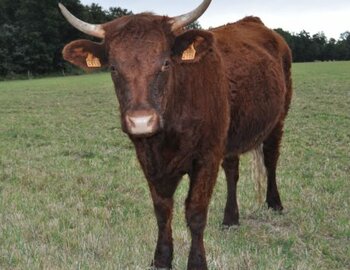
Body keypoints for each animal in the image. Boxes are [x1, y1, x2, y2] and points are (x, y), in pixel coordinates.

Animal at [58, 1, 292, 268]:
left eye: (166, 63)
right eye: (114, 68)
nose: (141, 121)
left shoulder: (207, 156)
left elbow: (196, 212)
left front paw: (197, 262)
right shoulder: (148, 158)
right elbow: (162, 210)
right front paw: (161, 258)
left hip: (278, 118)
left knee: (271, 159)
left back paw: (275, 203)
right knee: (232, 170)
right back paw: (231, 218)